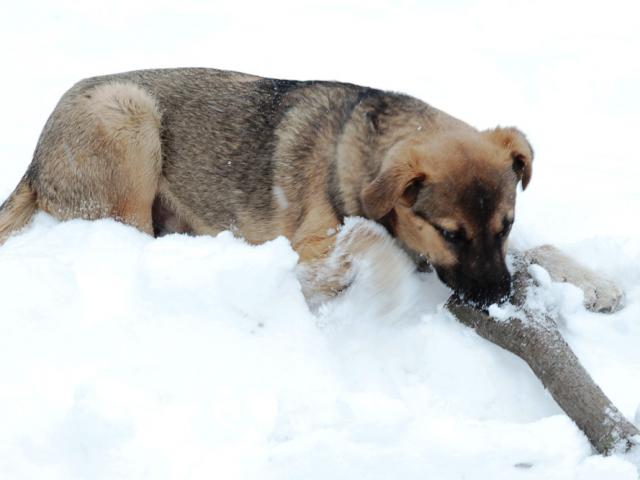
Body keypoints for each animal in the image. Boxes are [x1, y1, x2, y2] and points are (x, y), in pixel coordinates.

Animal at [0, 67, 620, 310]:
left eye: (506, 225)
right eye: (449, 233)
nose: (497, 297)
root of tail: (33, 162)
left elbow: (538, 248)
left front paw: (593, 281)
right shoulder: (310, 249)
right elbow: (369, 241)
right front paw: (392, 289)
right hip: (128, 114)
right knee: (131, 238)